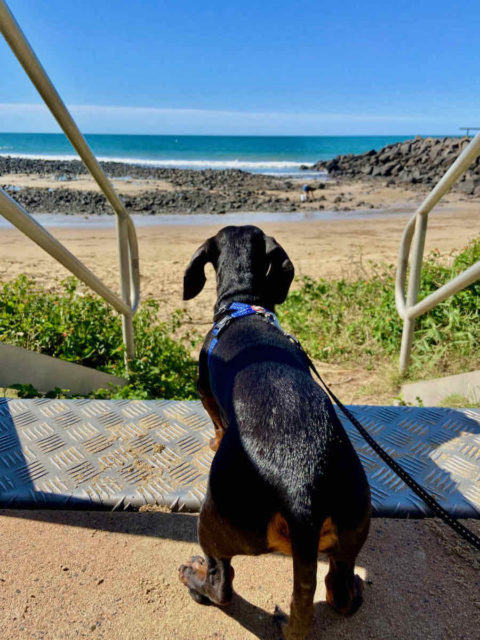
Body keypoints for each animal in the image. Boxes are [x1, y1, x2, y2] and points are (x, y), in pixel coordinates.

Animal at [178, 225, 370, 640]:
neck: (243, 304)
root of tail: (302, 491)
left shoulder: (204, 390)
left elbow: (217, 419)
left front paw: (216, 438)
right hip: (353, 527)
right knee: (341, 590)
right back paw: (350, 590)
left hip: (214, 521)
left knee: (222, 584)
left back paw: (195, 578)